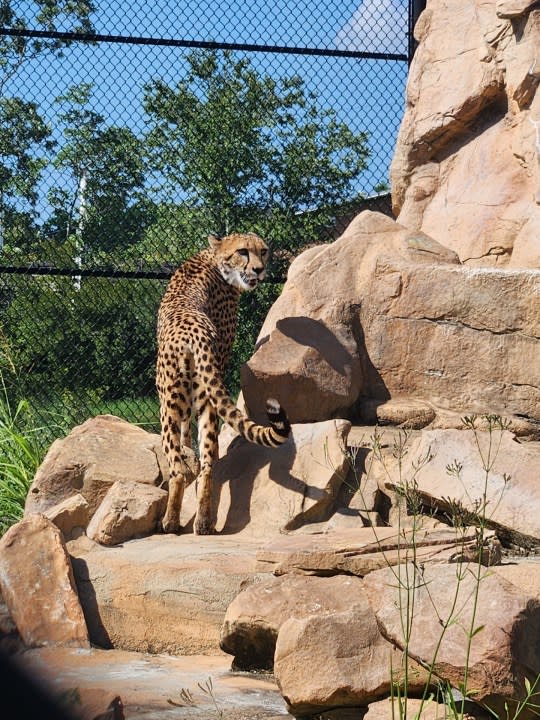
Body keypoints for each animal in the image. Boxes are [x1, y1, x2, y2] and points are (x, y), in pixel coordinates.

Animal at [156, 232, 292, 536]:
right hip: (206, 399)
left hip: (166, 405)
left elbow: (182, 439)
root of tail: (193, 333)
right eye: (243, 251)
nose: (259, 270)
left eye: (263, 251)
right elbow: (189, 432)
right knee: (208, 462)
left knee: (177, 468)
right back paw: (203, 523)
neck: (215, 260)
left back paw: (170, 522)